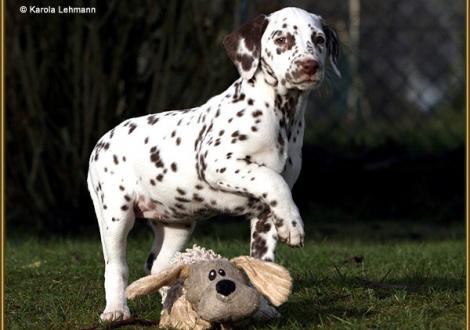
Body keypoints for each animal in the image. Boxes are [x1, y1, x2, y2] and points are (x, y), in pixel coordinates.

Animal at [87, 6, 338, 320]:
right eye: (281, 40)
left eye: (318, 40)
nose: (309, 65)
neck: (281, 115)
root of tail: (101, 141)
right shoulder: (217, 163)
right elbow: (272, 179)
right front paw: (294, 224)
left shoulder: (265, 215)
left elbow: (263, 263)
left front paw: (262, 309)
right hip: (115, 216)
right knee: (116, 266)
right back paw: (116, 309)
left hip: (177, 224)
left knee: (160, 266)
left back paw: (173, 300)